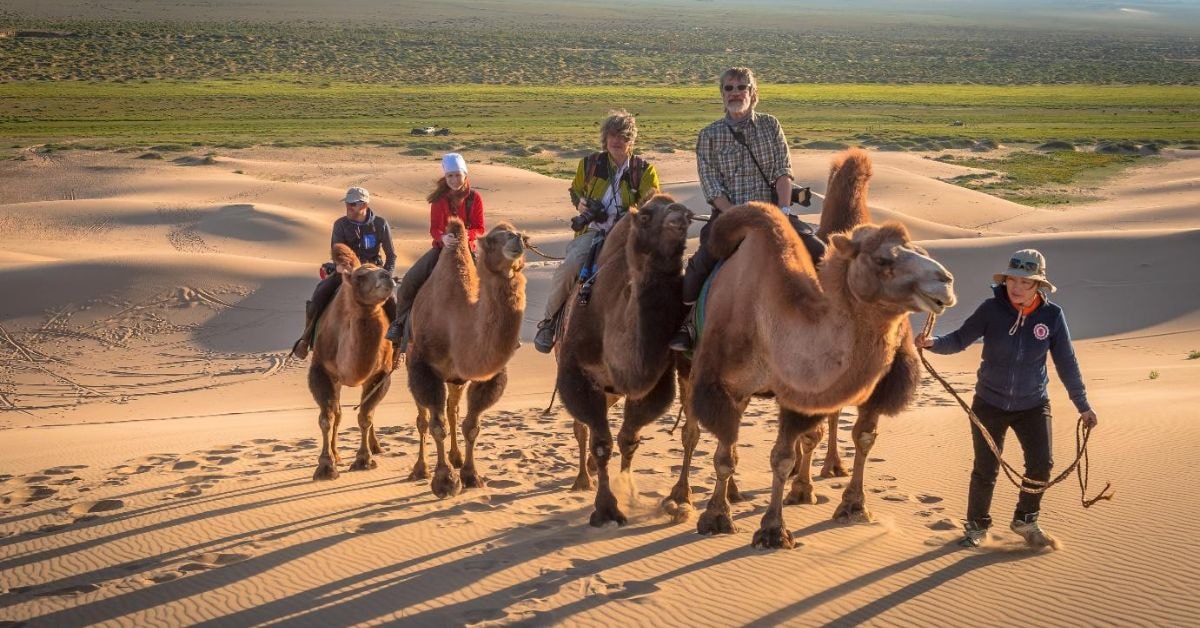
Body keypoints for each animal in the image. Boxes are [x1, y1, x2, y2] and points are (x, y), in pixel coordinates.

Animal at [307, 244, 396, 482]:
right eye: (360, 276)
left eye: (382, 269)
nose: (387, 277)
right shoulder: (321, 371)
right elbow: (327, 417)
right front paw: (326, 466)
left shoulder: (380, 374)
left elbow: (365, 415)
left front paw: (364, 460)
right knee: (337, 412)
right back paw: (337, 454)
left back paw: (376, 447)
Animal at [403, 218, 525, 499]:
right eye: (492, 239)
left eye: (520, 234)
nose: (518, 239)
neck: (456, 319)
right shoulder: (423, 367)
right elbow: (435, 424)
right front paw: (444, 481)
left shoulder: (485, 375)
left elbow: (471, 425)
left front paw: (471, 475)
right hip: (411, 363)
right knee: (423, 419)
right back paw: (420, 469)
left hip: (455, 378)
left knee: (452, 409)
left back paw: (456, 458)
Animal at [554, 195, 691, 525]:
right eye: (645, 216)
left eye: (690, 216)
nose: (679, 218)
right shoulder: (576, 373)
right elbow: (601, 443)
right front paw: (606, 510)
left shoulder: (655, 382)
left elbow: (628, 438)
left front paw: (628, 491)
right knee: (582, 428)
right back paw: (582, 479)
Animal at [686, 150, 955, 547]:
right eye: (883, 260)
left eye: (920, 250)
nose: (946, 281)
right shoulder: (720, 382)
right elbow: (723, 454)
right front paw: (717, 517)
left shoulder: (801, 390)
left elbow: (791, 453)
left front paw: (786, 523)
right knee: (693, 430)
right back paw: (678, 500)